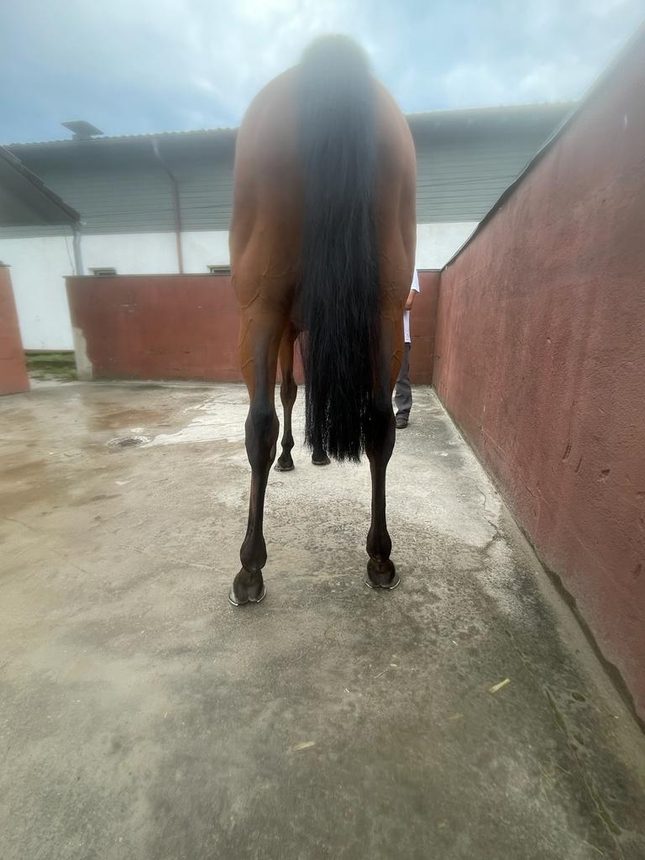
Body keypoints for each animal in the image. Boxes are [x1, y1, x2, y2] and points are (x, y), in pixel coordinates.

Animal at [228, 35, 417, 606]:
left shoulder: (288, 325)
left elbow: (290, 392)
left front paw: (297, 455)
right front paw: (314, 453)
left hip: (261, 309)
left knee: (259, 422)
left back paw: (249, 567)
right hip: (383, 310)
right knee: (379, 422)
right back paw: (380, 557)